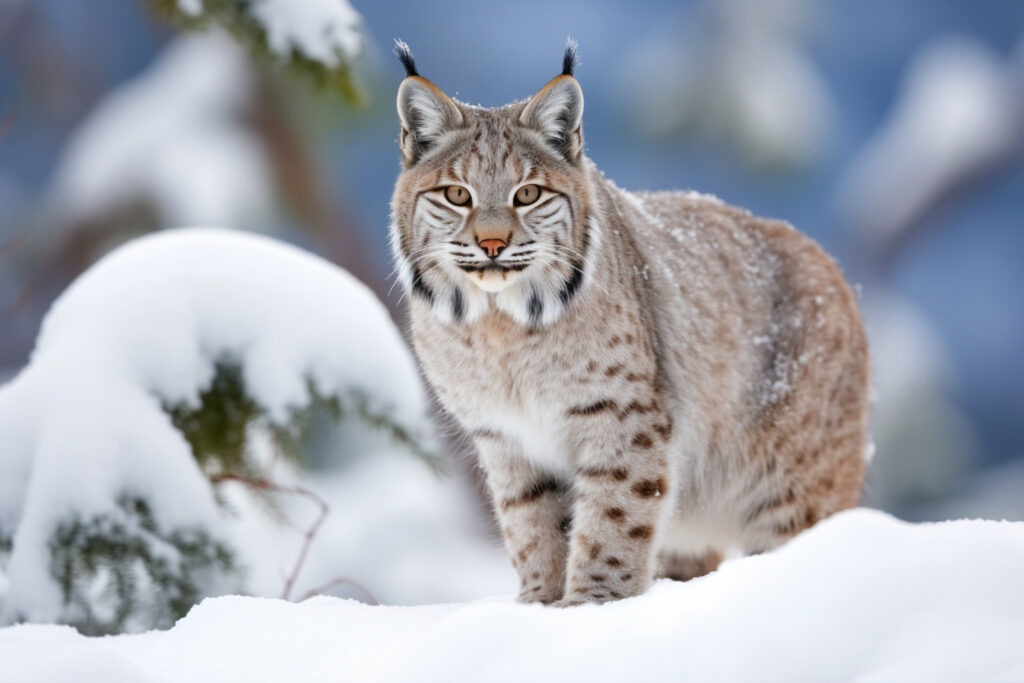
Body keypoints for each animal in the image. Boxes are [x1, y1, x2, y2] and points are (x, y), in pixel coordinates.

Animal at [387, 40, 868, 606]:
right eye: (457, 195)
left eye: (527, 195)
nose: (492, 245)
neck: (499, 325)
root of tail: (827, 262)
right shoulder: (503, 437)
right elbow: (530, 527)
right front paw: (538, 605)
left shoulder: (622, 416)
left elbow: (613, 519)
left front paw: (593, 605)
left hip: (794, 491)